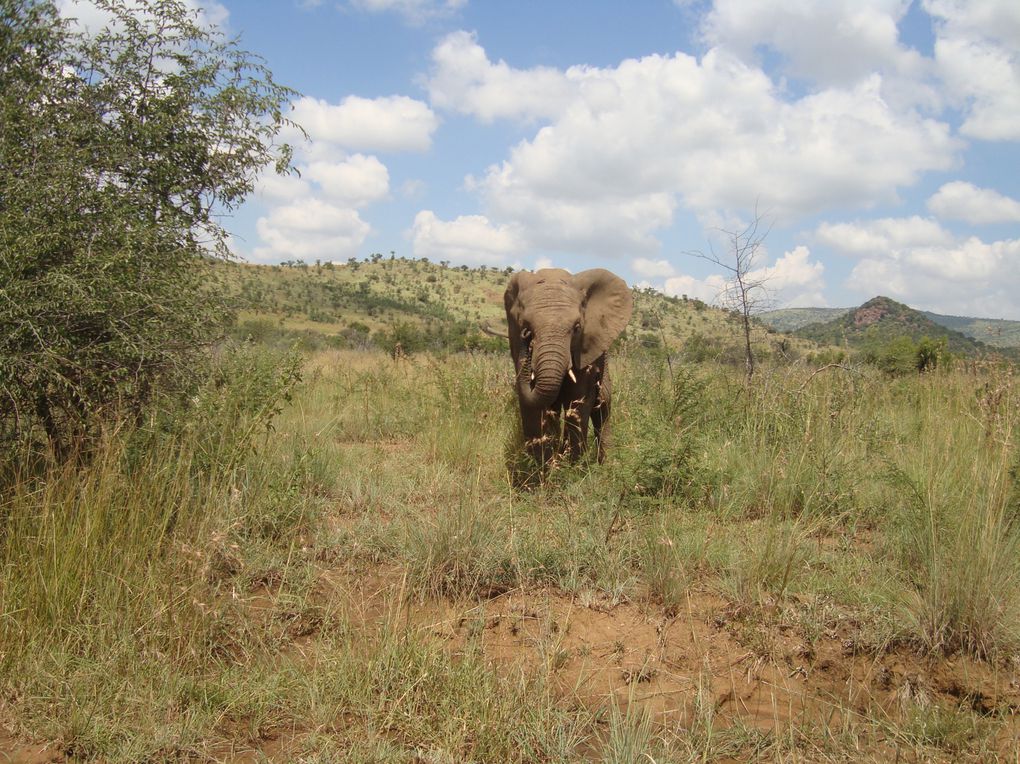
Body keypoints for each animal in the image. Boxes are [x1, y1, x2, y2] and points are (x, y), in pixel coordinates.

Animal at [501, 267, 628, 465]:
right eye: (525, 326)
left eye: (577, 327)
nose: (525, 337)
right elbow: (533, 405)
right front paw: (543, 467)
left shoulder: (584, 349)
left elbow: (577, 400)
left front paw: (572, 467)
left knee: (602, 406)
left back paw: (606, 464)